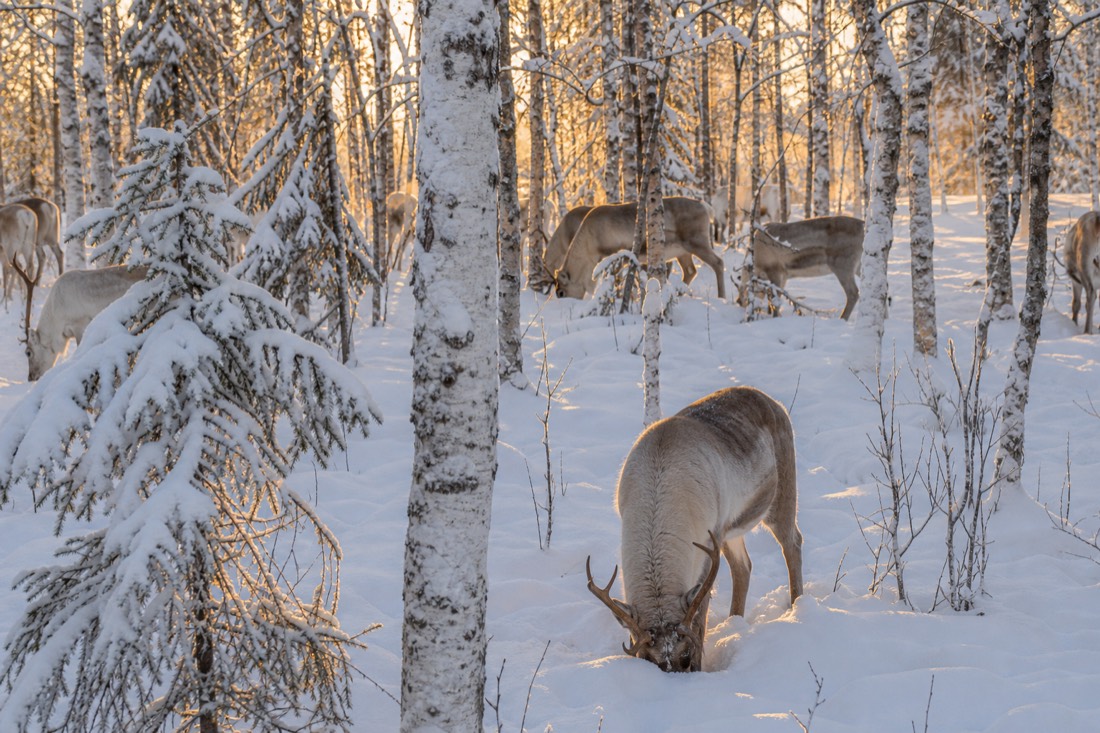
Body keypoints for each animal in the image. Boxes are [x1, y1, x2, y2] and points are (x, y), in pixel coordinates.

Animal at [553, 197, 725, 301]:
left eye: (561, 292)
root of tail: (705, 207)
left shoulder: (616, 255)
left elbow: (616, 279)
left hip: (697, 243)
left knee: (718, 263)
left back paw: (722, 297)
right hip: (683, 252)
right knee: (690, 271)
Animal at [587, 386, 803, 673]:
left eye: (686, 656)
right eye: (650, 659)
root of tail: (773, 402)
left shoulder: (710, 541)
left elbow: (701, 616)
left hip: (780, 495)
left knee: (792, 543)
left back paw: (798, 606)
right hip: (732, 528)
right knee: (743, 567)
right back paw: (735, 622)